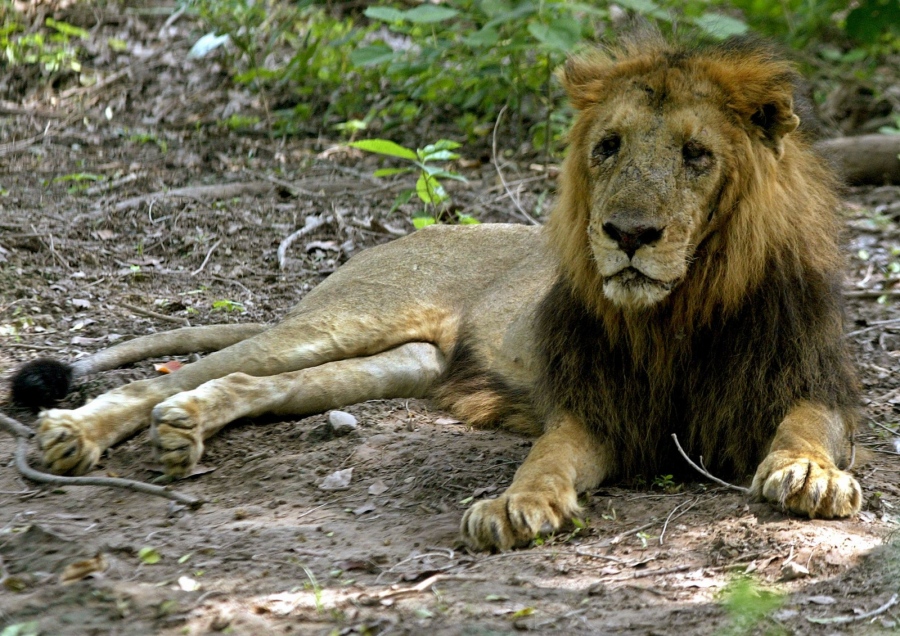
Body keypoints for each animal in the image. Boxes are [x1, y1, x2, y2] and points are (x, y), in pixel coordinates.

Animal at [14, 34, 856, 552]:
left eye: (695, 155)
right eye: (608, 147)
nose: (628, 233)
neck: (681, 309)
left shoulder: (811, 383)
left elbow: (808, 428)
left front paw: (810, 476)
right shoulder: (595, 407)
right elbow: (547, 458)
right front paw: (516, 505)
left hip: (402, 361)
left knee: (249, 382)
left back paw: (185, 426)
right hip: (346, 318)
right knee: (187, 372)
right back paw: (75, 434)